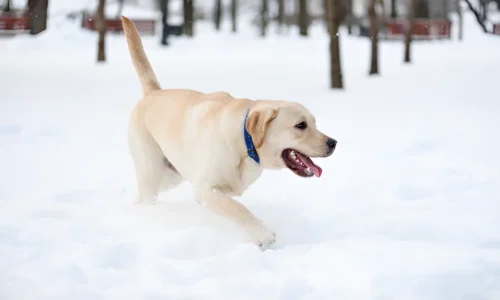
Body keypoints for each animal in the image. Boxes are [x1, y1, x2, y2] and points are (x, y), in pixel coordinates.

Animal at [120, 17, 336, 251]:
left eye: (314, 123)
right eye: (301, 125)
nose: (333, 142)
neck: (244, 141)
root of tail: (153, 93)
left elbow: (233, 202)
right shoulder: (205, 190)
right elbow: (235, 207)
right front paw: (262, 233)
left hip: (170, 176)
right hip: (151, 171)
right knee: (146, 193)